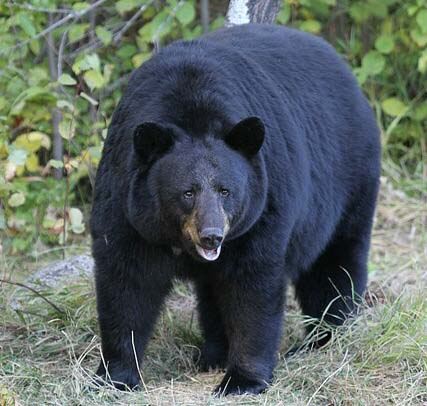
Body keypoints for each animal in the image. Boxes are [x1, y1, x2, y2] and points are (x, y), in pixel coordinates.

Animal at [90, 24, 381, 395]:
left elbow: (252, 287)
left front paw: (242, 380)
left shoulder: (263, 208)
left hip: (348, 182)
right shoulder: (126, 204)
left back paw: (325, 337)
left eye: (225, 191)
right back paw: (212, 354)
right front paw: (116, 376)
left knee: (333, 265)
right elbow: (127, 282)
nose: (212, 236)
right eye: (187, 192)